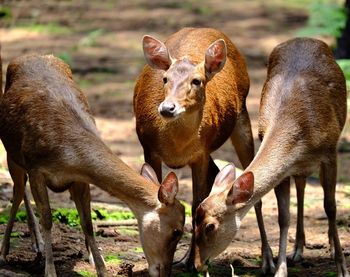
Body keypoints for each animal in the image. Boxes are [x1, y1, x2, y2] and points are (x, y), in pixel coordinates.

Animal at [0, 53, 186, 276]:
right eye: (177, 231)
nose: (165, 272)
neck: (66, 155)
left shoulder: (80, 179)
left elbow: (87, 222)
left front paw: (102, 268)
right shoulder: (36, 168)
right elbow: (47, 219)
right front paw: (50, 271)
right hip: (12, 155)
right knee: (18, 192)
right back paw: (9, 250)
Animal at [133, 27, 276, 268]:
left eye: (197, 81)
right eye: (165, 78)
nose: (167, 108)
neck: (177, 146)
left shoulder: (200, 153)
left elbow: (196, 203)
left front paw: (191, 262)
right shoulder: (148, 147)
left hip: (242, 118)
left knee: (255, 193)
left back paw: (268, 259)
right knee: (217, 172)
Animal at [193, 37, 348, 276]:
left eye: (210, 226)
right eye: (194, 221)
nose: (197, 265)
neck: (300, 131)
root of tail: (306, 38)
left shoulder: (330, 152)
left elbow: (330, 207)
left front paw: (342, 267)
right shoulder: (285, 170)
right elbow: (283, 216)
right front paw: (281, 269)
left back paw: (329, 247)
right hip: (299, 168)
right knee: (301, 185)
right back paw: (298, 249)